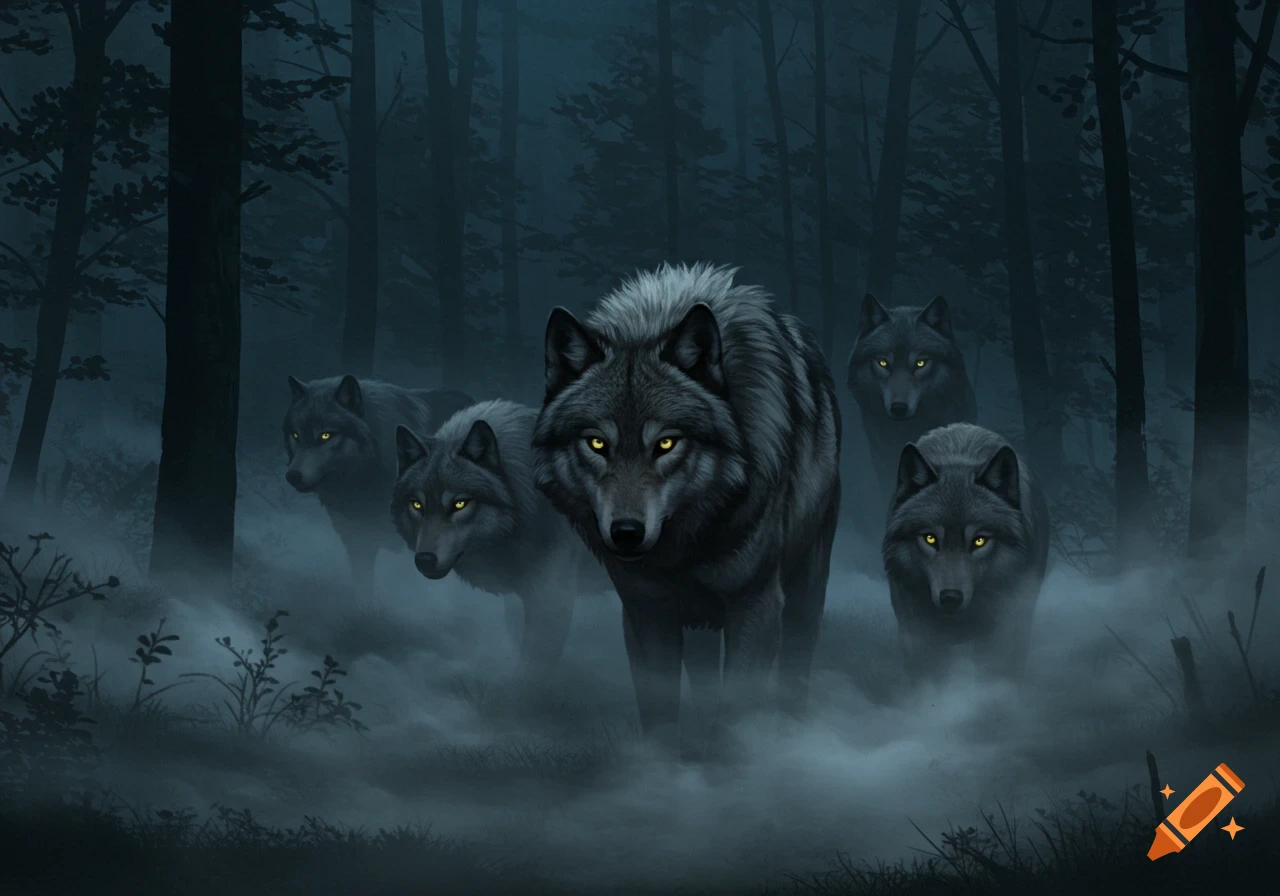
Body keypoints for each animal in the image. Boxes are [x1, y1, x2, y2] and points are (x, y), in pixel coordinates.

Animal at [389, 399, 612, 673]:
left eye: (460, 503)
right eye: (417, 505)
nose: (425, 560)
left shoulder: (551, 601)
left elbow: (532, 667)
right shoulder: (519, 597)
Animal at [532, 262, 842, 752]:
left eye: (666, 443)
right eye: (597, 443)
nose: (626, 532)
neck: (684, 551)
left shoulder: (756, 605)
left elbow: (737, 713)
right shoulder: (645, 613)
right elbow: (659, 711)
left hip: (806, 586)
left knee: (797, 665)